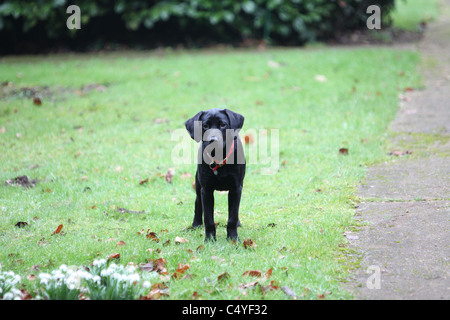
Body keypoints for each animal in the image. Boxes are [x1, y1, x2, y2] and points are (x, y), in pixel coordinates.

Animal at [184, 109, 244, 241]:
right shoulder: (206, 190)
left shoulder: (236, 188)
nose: (213, 140)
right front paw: (210, 240)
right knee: (197, 203)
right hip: (198, 185)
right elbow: (208, 219)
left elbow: (232, 216)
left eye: (223, 125)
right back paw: (196, 224)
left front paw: (233, 239)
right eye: (205, 126)